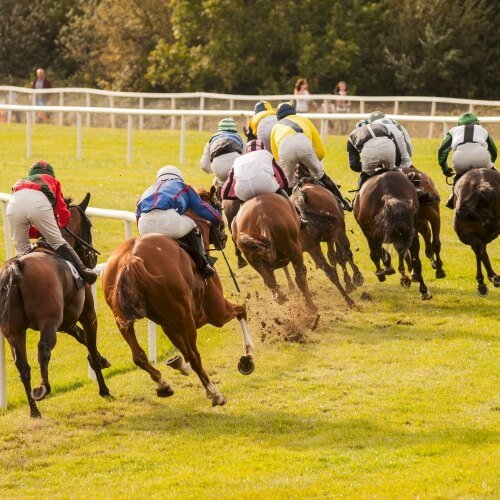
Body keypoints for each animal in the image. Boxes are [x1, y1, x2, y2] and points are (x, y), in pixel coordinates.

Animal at [0, 195, 109, 418]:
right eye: (90, 224)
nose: (93, 260)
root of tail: (15, 267)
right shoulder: (87, 314)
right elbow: (90, 343)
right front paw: (104, 388)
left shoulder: (65, 321)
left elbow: (81, 337)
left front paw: (103, 361)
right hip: (48, 321)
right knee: (43, 349)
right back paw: (42, 389)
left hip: (13, 331)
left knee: (22, 365)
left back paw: (34, 410)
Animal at [103, 193, 256, 408]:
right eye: (217, 205)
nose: (225, 237)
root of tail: (130, 260)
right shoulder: (214, 312)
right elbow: (241, 309)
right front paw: (247, 356)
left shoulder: (170, 323)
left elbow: (180, 353)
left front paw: (176, 363)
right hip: (185, 317)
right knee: (194, 355)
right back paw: (214, 394)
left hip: (123, 319)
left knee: (139, 356)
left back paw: (163, 385)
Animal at [290, 178, 364, 306]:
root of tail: (300, 196)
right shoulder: (334, 234)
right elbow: (338, 257)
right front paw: (350, 282)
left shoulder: (321, 241)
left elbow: (332, 257)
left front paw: (348, 283)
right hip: (337, 230)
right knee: (345, 252)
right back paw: (357, 277)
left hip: (312, 246)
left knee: (328, 270)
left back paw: (348, 300)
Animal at [354, 170, 432, 298]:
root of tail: (388, 196)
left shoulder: (372, 234)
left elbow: (377, 253)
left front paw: (385, 269)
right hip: (409, 234)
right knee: (414, 259)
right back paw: (421, 288)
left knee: (378, 253)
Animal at [456, 168, 498, 296]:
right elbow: (483, 252)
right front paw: (493, 277)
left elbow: (481, 251)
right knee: (478, 248)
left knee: (477, 248)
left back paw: (482, 284)